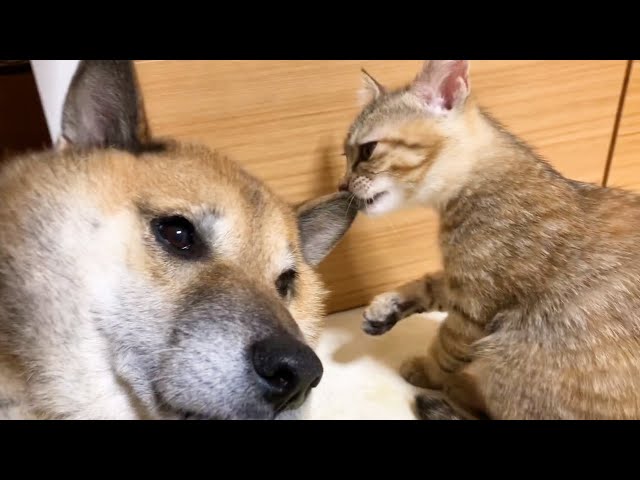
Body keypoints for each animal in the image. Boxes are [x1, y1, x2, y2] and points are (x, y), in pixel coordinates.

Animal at [342, 61, 640, 420]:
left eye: (367, 150)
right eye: (345, 155)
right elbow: (430, 283)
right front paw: (388, 305)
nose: (342, 185)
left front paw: (428, 370)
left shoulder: (475, 308)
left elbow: (445, 347)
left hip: (508, 351)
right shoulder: (461, 282)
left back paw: (457, 387)